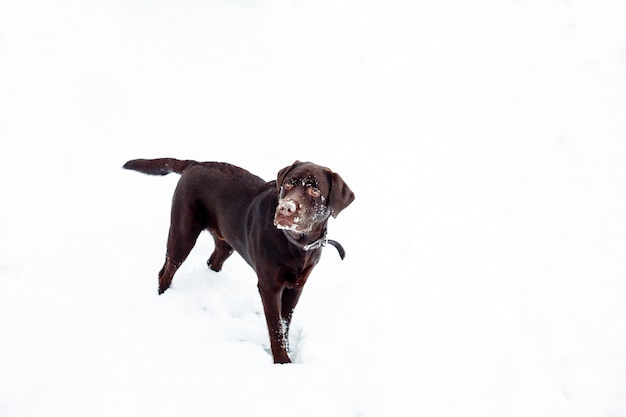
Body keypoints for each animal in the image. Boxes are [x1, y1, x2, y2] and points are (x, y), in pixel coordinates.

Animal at [123, 158, 352, 362]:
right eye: (288, 184)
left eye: (315, 191)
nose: (285, 209)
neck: (298, 245)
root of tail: (196, 163)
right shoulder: (269, 286)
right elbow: (276, 327)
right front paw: (282, 361)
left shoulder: (297, 286)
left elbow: (285, 322)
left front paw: (287, 352)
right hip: (183, 234)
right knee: (166, 271)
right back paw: (162, 297)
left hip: (227, 242)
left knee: (213, 261)